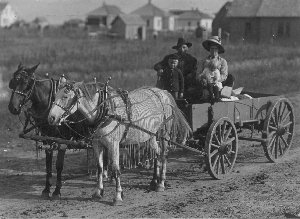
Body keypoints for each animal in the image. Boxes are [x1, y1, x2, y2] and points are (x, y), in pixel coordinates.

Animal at [8, 63, 106, 198]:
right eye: (13, 82)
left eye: (27, 84)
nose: (12, 107)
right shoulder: (46, 138)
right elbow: (48, 164)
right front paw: (46, 189)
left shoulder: (63, 140)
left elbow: (59, 165)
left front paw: (57, 190)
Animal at [47, 81, 191, 205]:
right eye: (55, 96)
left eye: (65, 96)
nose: (51, 118)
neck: (105, 111)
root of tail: (163, 92)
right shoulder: (97, 143)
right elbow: (100, 167)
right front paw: (98, 192)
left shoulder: (113, 144)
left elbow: (116, 169)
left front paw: (117, 196)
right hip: (151, 135)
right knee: (156, 154)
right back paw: (153, 181)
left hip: (163, 134)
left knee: (164, 155)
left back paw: (161, 183)